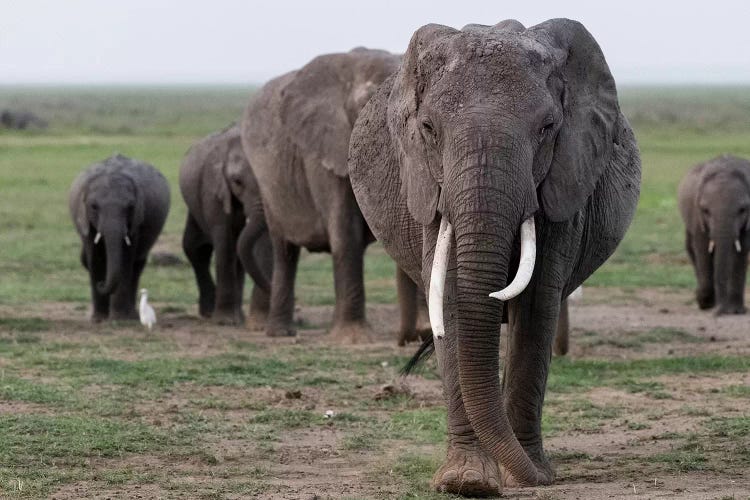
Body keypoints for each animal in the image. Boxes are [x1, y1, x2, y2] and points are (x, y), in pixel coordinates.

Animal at [69, 154, 170, 322]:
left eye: (130, 207)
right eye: (94, 206)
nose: (101, 283)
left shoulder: (136, 220)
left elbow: (126, 259)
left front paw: (119, 319)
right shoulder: (84, 219)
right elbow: (95, 259)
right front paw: (99, 319)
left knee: (137, 266)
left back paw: (132, 315)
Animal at [179, 124, 274, 326]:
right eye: (237, 182)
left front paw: (259, 322)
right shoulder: (213, 189)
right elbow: (225, 239)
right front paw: (225, 321)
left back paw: (240, 316)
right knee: (196, 247)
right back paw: (212, 313)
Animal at [244, 47, 402, 342]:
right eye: (367, 107)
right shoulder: (321, 151)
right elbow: (345, 234)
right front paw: (353, 340)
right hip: (269, 184)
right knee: (284, 252)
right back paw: (281, 332)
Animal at [350, 19, 644, 496]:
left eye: (548, 127)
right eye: (428, 127)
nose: (544, 478)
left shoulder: (562, 184)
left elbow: (536, 307)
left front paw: (529, 473)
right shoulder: (431, 189)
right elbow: (452, 302)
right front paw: (468, 482)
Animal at [680, 154, 748, 314]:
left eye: (742, 210)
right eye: (705, 210)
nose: (720, 311)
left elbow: (741, 252)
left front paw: (737, 311)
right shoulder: (696, 215)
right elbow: (702, 248)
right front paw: (705, 302)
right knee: (691, 248)